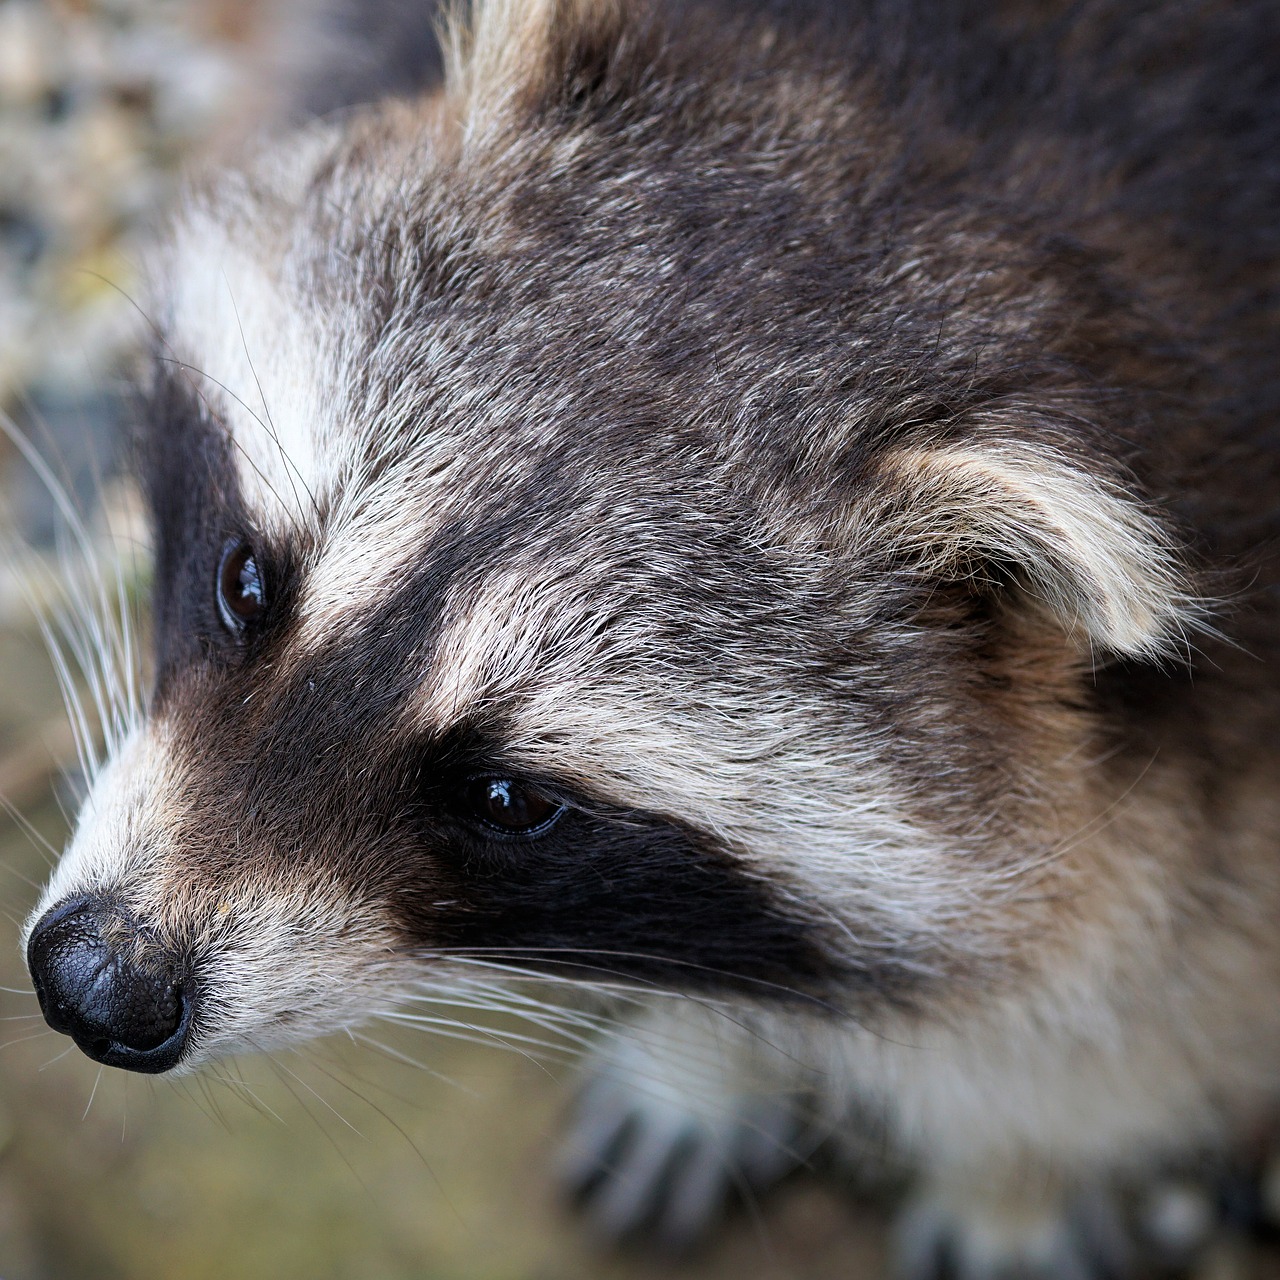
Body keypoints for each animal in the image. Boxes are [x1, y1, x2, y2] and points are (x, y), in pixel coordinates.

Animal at [20, 0, 1280, 1274]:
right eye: (247, 582)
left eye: (508, 798)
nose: (98, 983)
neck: (945, 164)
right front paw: (706, 1056)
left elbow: (1150, 986)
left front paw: (1014, 1164)